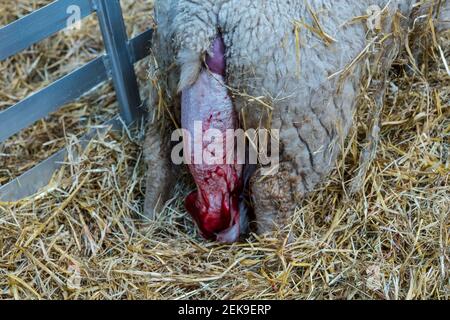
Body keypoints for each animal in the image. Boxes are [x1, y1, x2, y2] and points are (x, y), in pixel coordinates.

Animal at [145, 0, 450, 240]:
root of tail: (198, 24)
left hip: (163, 92)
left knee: (157, 159)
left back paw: (151, 214)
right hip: (303, 127)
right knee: (271, 192)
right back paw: (283, 248)